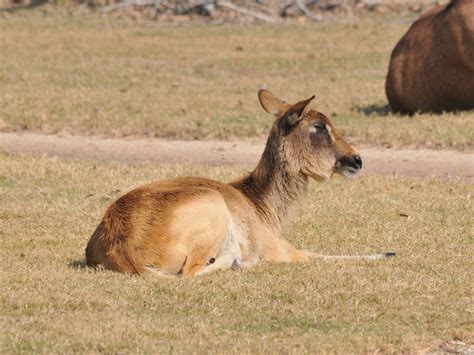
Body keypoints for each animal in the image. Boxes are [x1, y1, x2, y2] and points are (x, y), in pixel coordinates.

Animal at [86, 89, 396, 278]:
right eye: (319, 126)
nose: (356, 159)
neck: (257, 202)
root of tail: (122, 248)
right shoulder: (280, 249)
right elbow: (311, 254)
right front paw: (388, 251)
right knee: (191, 271)